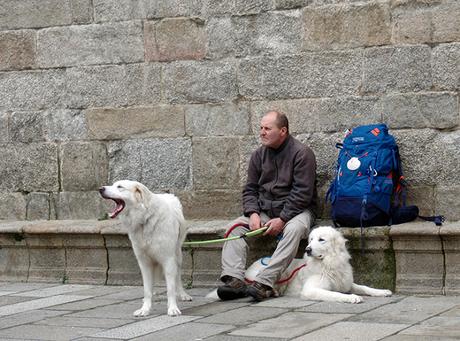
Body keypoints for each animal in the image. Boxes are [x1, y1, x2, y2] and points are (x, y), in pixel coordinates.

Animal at [99, 179, 191, 314]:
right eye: (113, 184)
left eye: (120, 187)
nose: (100, 189)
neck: (145, 219)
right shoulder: (144, 262)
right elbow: (147, 289)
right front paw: (145, 309)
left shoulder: (168, 259)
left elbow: (170, 288)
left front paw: (173, 309)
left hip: (177, 255)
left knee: (177, 276)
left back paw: (183, 294)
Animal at [210, 224, 390, 302]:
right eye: (311, 239)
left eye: (321, 240)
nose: (308, 249)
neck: (328, 263)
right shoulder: (311, 290)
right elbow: (334, 294)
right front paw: (352, 298)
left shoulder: (345, 282)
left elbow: (364, 287)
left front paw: (382, 291)